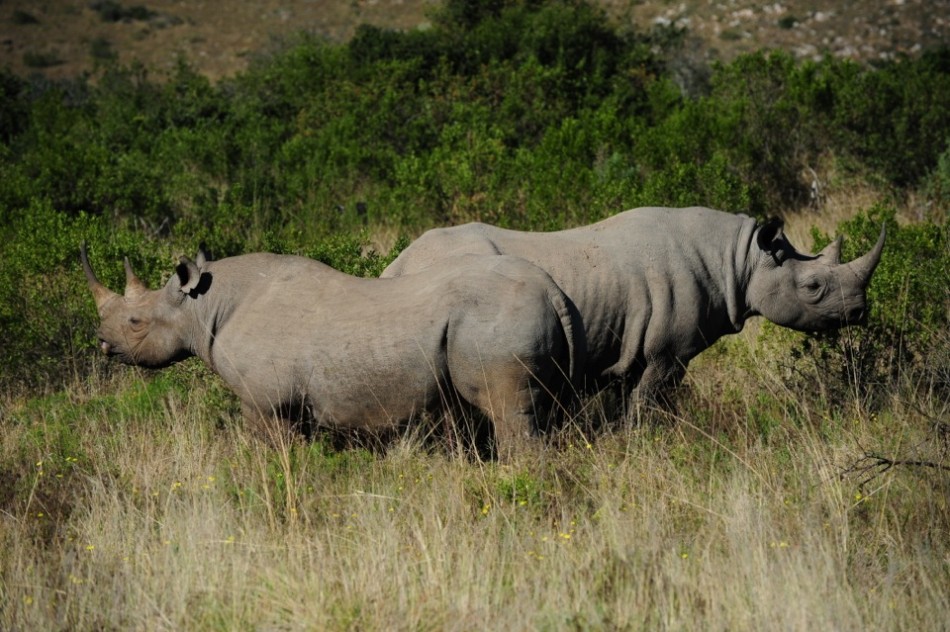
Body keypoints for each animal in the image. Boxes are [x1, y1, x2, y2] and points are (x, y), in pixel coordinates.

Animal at [80, 245, 581, 458]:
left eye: (135, 322)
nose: (102, 342)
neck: (203, 306)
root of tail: (551, 289)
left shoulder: (264, 402)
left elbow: (273, 454)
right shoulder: (293, 404)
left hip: (493, 320)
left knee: (508, 413)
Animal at [381, 206, 885, 410]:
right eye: (814, 286)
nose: (860, 313)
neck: (739, 259)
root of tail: (397, 264)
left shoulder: (630, 348)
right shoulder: (668, 352)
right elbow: (649, 405)